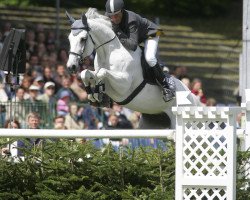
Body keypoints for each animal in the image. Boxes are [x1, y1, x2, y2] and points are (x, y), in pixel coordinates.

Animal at [66, 7, 199, 129]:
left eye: (83, 39)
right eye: (69, 39)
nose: (71, 67)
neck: (110, 52)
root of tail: (193, 97)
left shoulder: (124, 85)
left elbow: (102, 73)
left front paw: (98, 93)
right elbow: (86, 73)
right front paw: (93, 96)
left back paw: (168, 90)